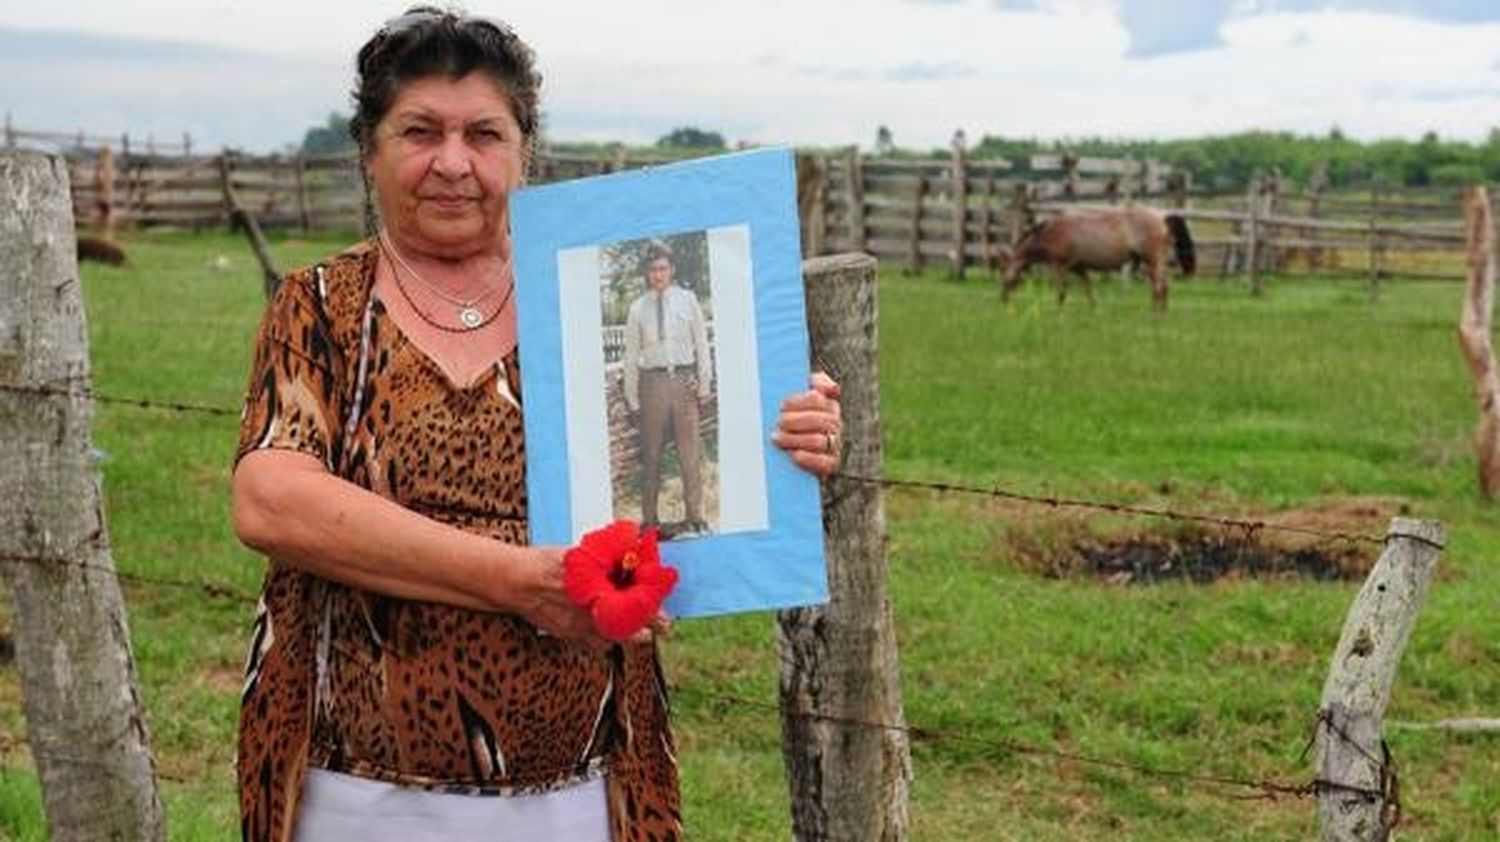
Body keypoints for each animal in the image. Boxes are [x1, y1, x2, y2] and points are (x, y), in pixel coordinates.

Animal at [1002, 205, 1200, 313]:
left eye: (1003, 274)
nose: (1003, 298)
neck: (1051, 231)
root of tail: (1162, 217)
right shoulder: (1080, 269)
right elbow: (1089, 291)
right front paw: (1096, 311)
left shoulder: (1060, 266)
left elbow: (1061, 293)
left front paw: (1059, 313)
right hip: (1154, 263)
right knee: (1162, 287)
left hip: (1153, 261)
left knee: (1159, 287)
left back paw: (1156, 316)